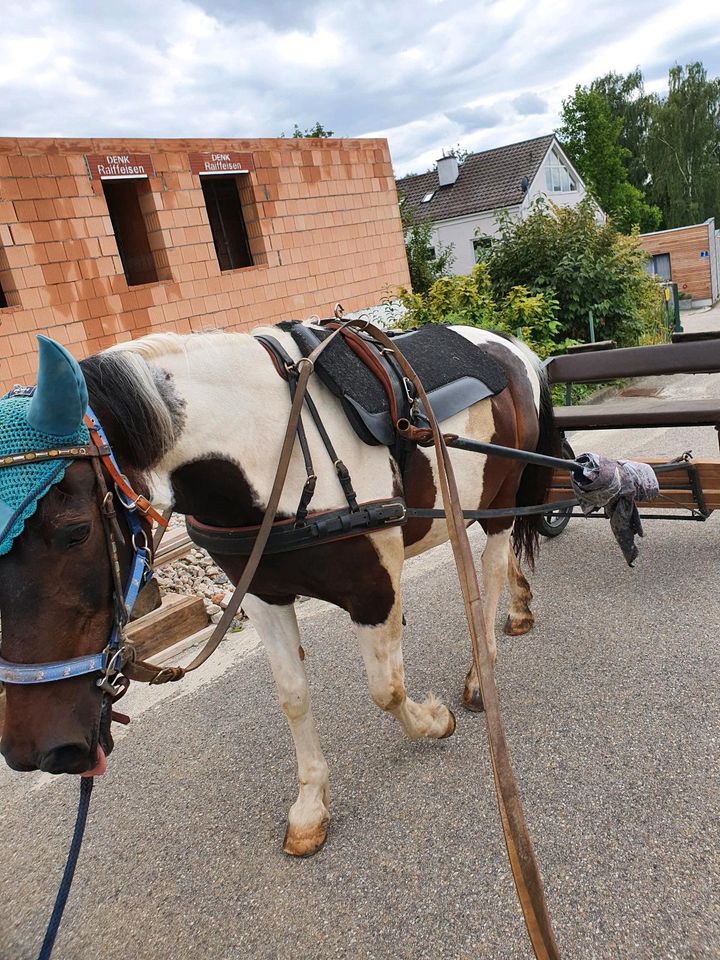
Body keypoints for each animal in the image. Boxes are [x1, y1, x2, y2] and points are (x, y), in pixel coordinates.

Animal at [0, 320, 556, 856]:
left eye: (76, 531)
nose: (40, 751)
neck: (266, 448)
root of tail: (505, 344)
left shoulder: (373, 588)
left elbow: (386, 688)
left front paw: (435, 722)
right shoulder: (262, 595)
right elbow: (293, 696)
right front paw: (310, 807)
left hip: (502, 496)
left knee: (489, 565)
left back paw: (482, 671)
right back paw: (520, 606)